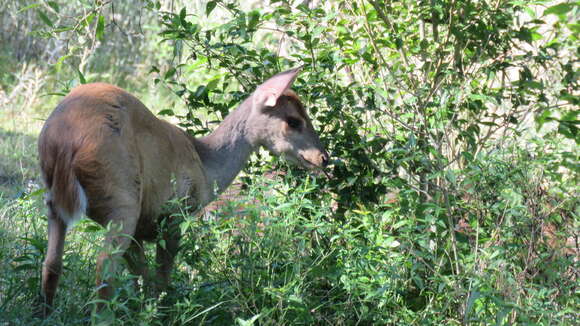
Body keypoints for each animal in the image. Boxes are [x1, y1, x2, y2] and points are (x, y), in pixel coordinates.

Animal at [38, 67, 328, 314]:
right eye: (294, 121)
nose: (323, 158)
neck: (204, 163)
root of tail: (65, 141)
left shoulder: (142, 229)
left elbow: (143, 277)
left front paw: (144, 311)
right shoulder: (175, 213)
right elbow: (161, 278)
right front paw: (156, 313)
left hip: (55, 202)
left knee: (52, 265)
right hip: (123, 201)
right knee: (104, 268)